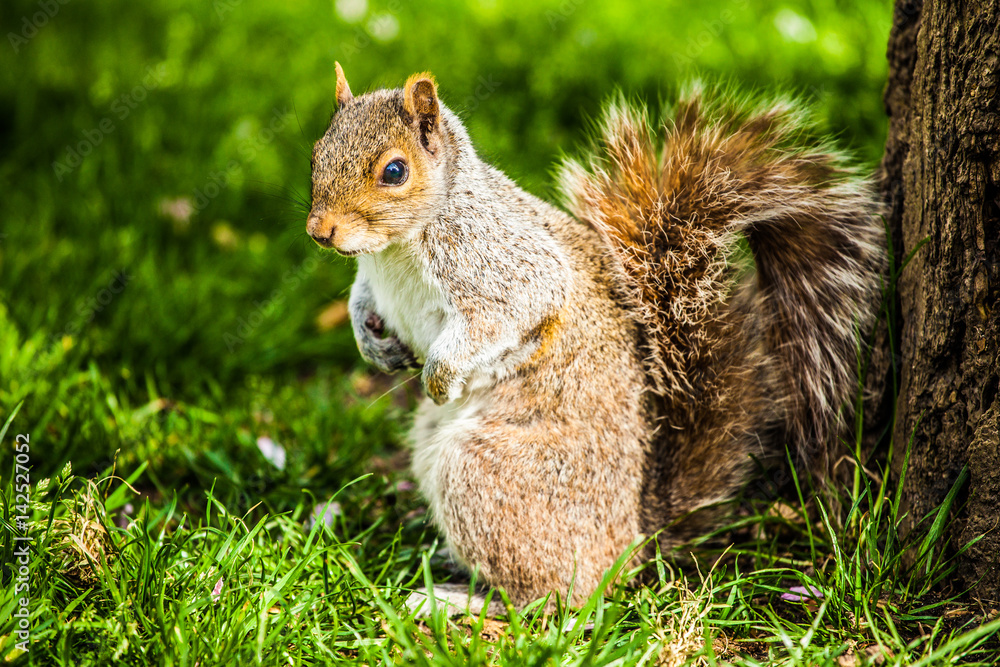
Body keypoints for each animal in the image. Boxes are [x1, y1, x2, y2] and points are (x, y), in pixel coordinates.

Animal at [307, 64, 886, 615]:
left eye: (395, 171)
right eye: (316, 152)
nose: (319, 231)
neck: (393, 249)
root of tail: (632, 542)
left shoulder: (500, 261)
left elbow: (509, 310)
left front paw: (442, 375)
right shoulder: (375, 277)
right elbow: (362, 297)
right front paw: (371, 339)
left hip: (484, 475)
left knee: (556, 597)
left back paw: (460, 598)